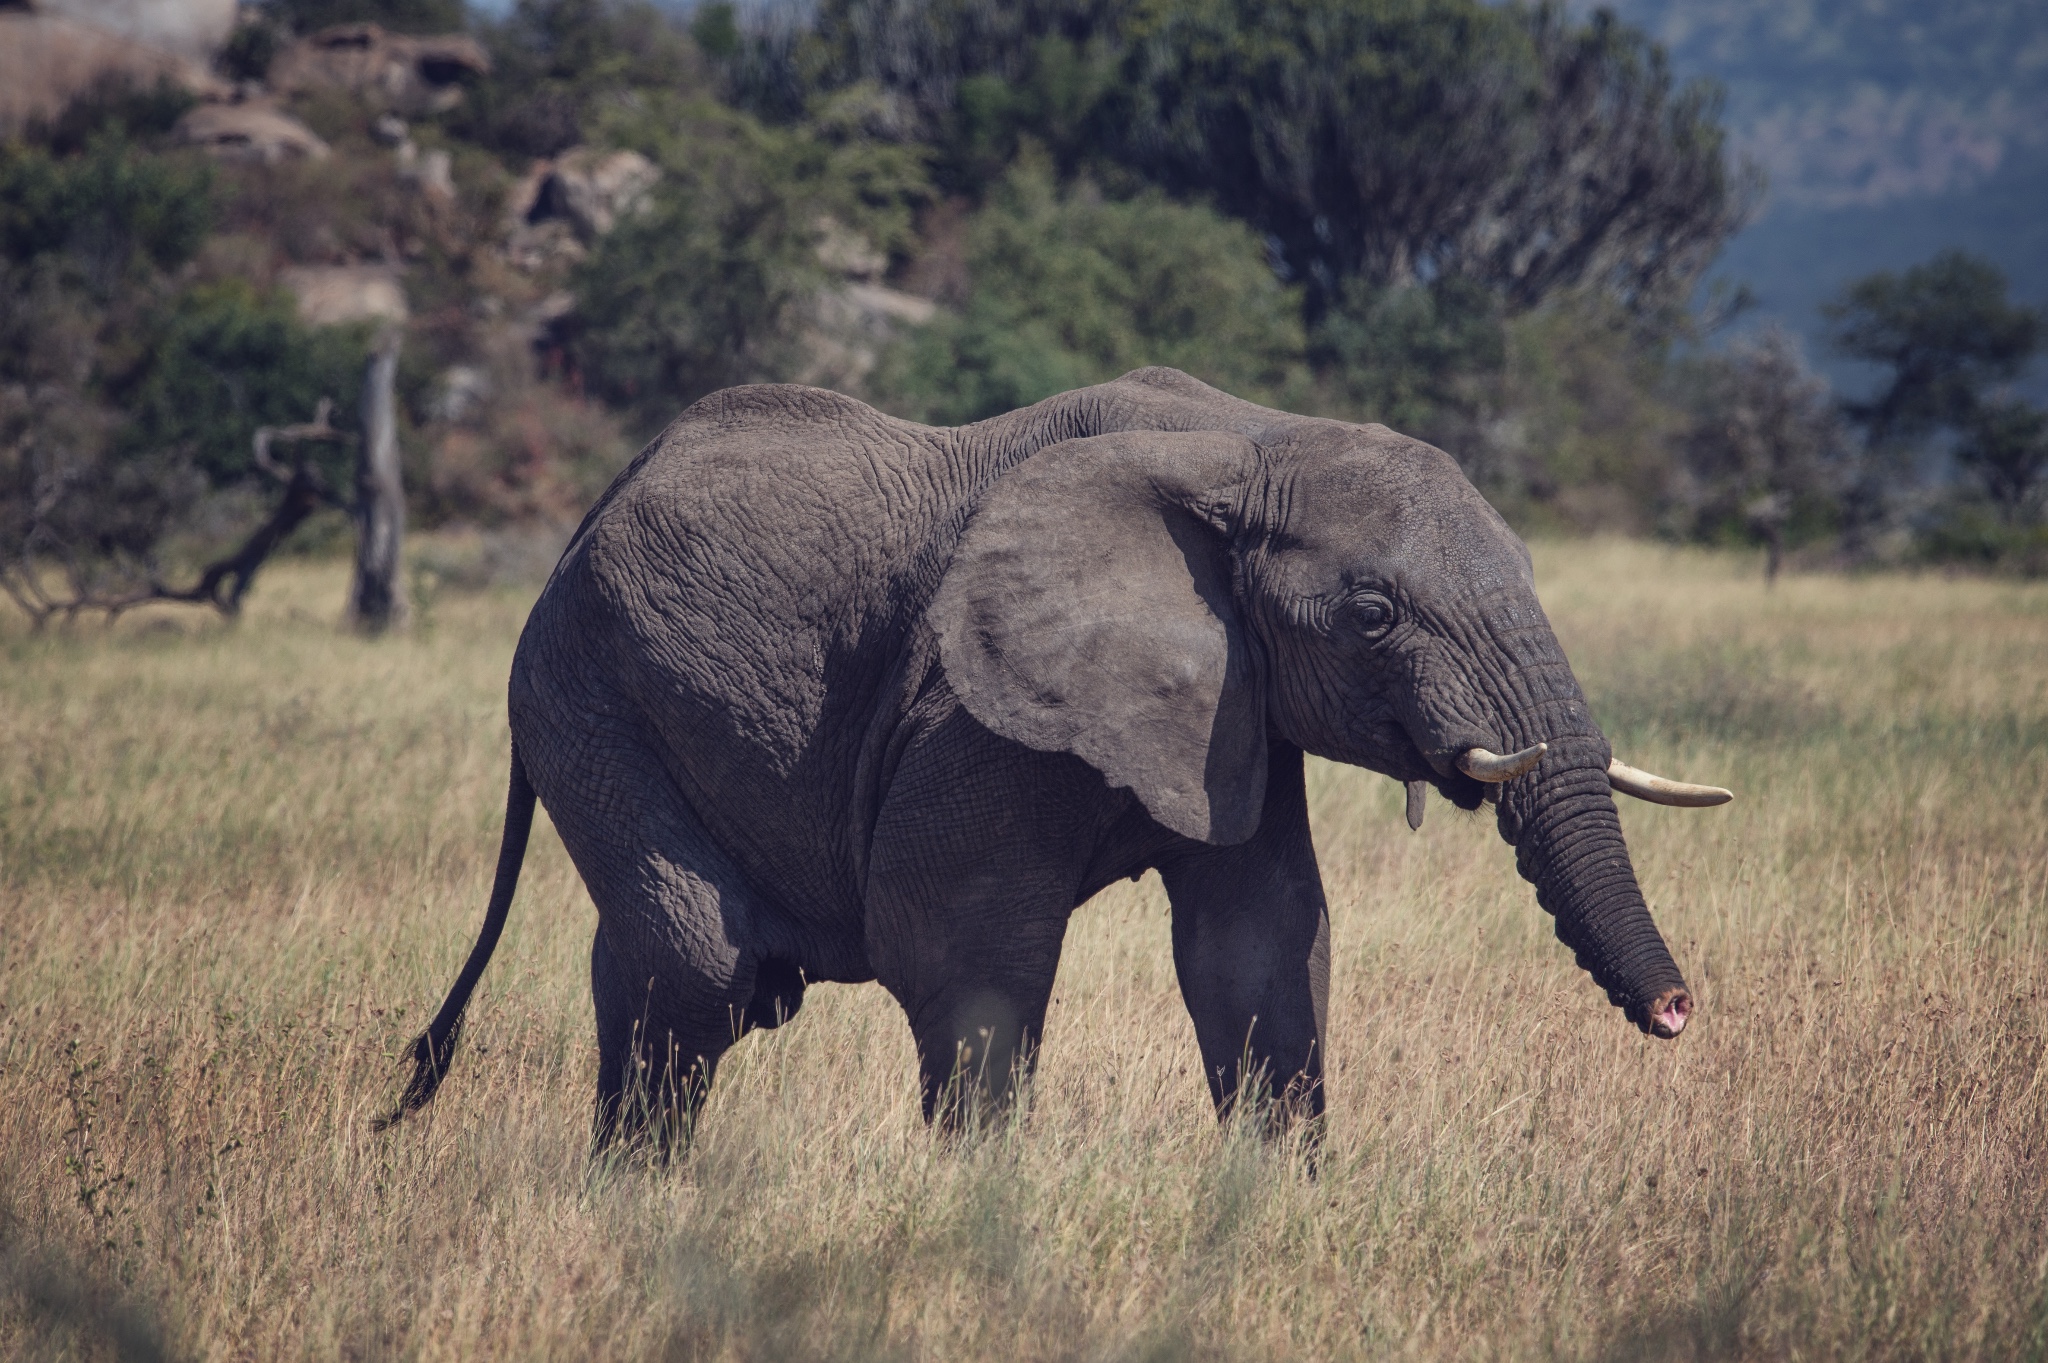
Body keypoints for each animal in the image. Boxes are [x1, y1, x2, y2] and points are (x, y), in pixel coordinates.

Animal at [376, 364, 1720, 1146]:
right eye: (1374, 613)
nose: (1676, 1010)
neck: (1251, 442)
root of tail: (587, 514)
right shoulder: (975, 699)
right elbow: (956, 943)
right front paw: (976, 1214)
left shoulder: (1234, 700)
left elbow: (1260, 944)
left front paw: (1276, 1197)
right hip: (580, 692)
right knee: (699, 966)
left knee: (656, 967)